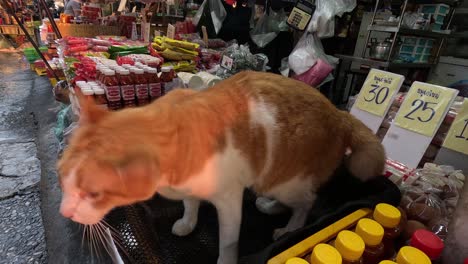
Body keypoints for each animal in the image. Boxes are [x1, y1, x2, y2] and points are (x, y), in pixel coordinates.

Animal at [57, 70, 384, 264]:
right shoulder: (190, 190)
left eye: (93, 193)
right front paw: (188, 222)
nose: (65, 212)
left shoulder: (229, 200)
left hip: (287, 180)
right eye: (62, 178)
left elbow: (227, 242)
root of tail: (339, 112)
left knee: (307, 202)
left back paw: (290, 226)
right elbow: (190, 205)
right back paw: (270, 206)